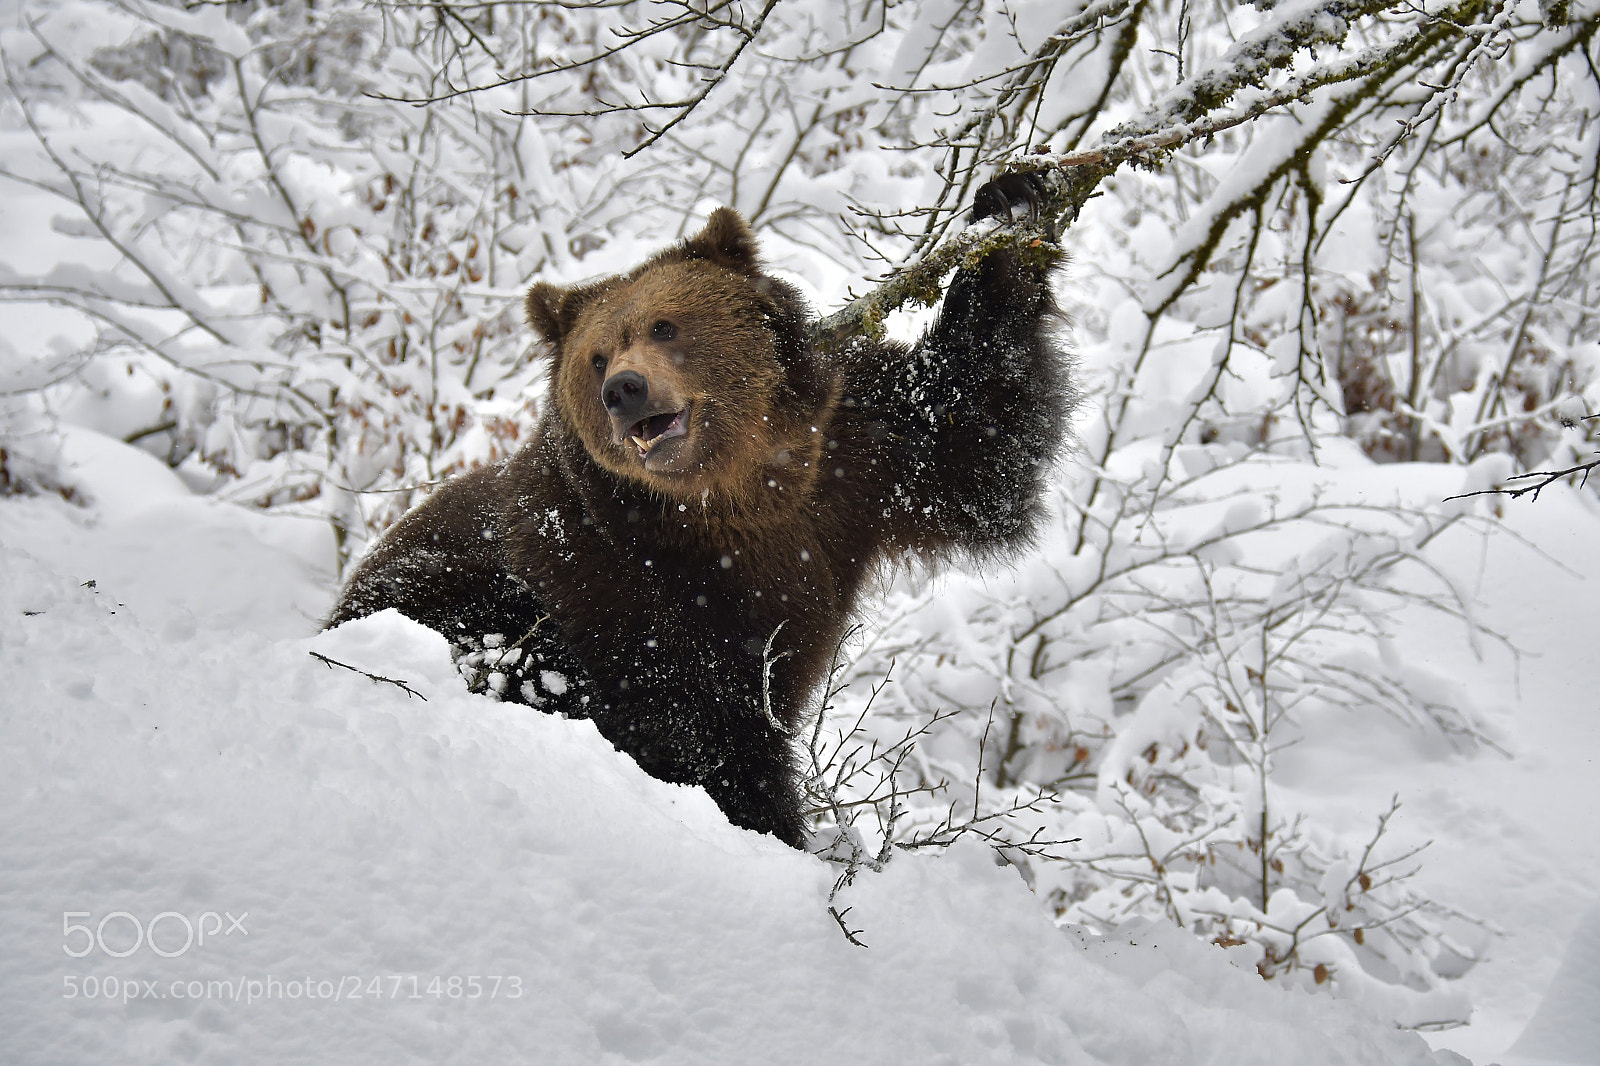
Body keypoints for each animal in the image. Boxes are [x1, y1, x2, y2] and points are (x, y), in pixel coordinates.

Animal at [328, 176, 1073, 848]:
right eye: (596, 355)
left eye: (665, 324)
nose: (624, 389)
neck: (732, 491)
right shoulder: (607, 564)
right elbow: (696, 719)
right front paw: (768, 822)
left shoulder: (854, 452)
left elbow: (970, 434)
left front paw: (1010, 210)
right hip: (442, 590)